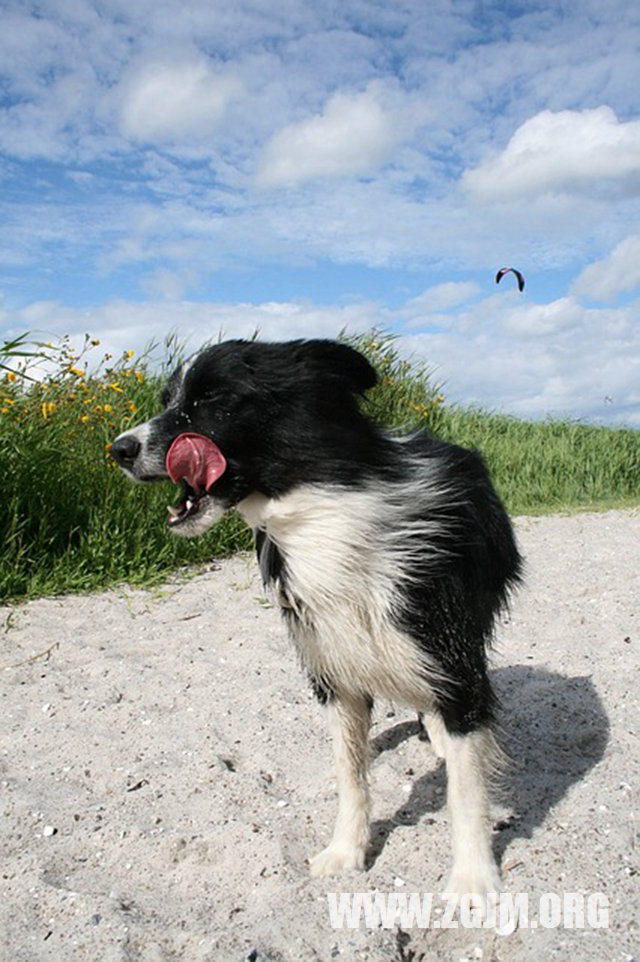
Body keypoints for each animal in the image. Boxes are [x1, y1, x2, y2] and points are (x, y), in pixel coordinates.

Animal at [110, 340, 520, 900]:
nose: (119, 449)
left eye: (213, 399)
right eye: (168, 400)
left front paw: (474, 879)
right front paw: (346, 852)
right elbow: (351, 773)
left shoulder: (448, 651)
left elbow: (467, 787)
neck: (323, 515)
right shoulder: (334, 668)